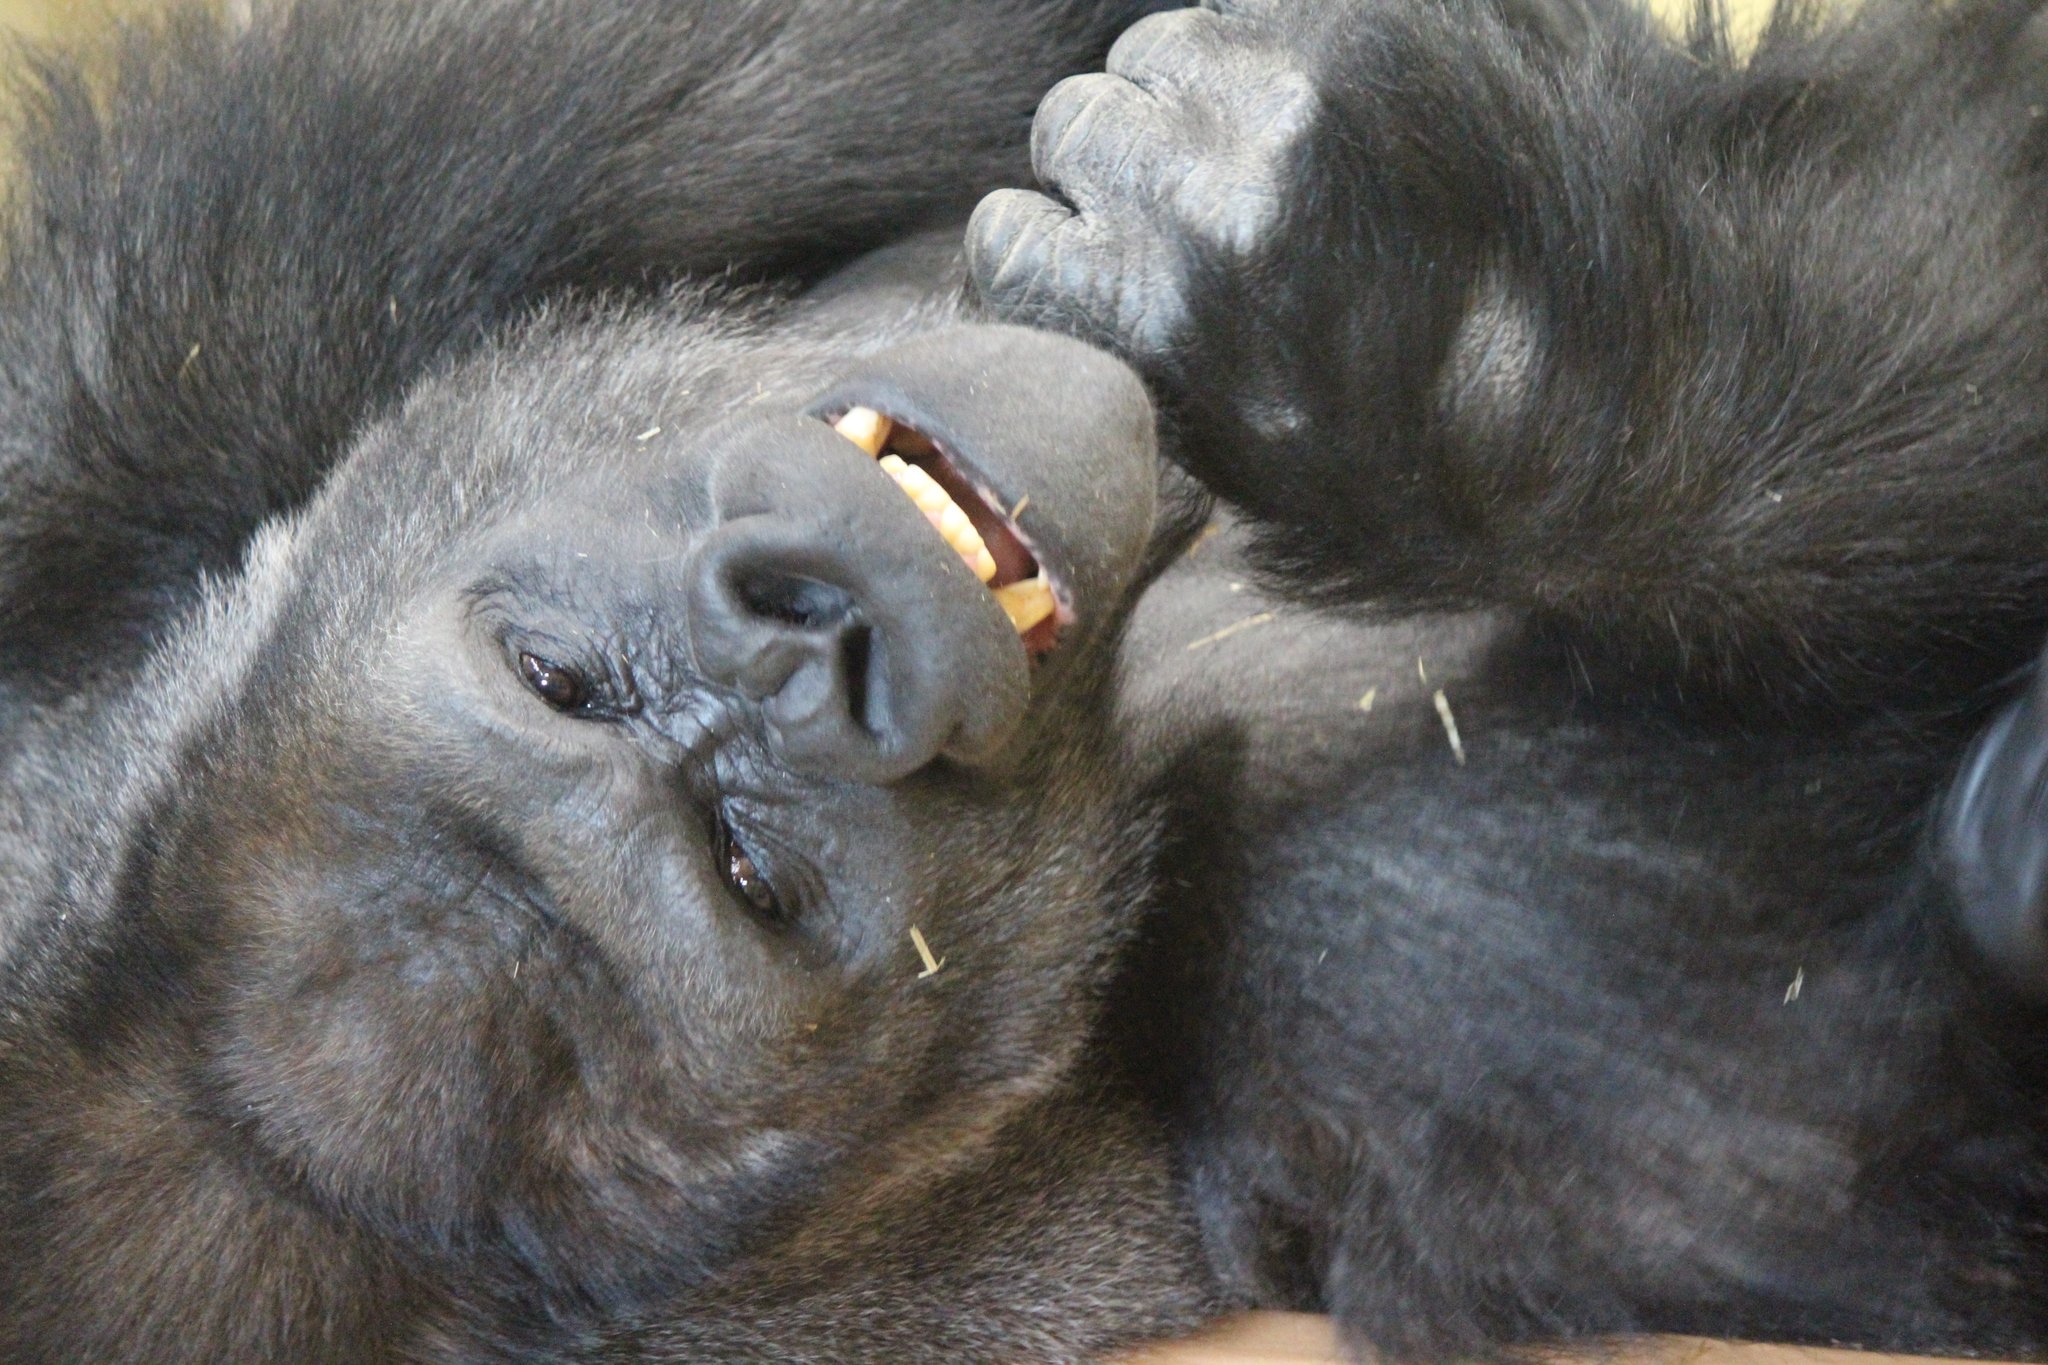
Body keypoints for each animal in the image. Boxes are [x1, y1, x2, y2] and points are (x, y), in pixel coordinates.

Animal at [0, 0, 2039, 1358]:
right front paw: (1471, 366)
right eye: (756, 884)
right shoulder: (1393, 998)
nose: (809, 645)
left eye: (552, 677)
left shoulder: (168, 362)